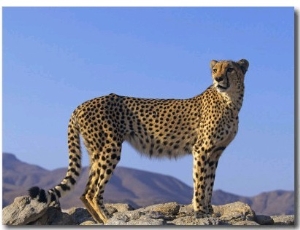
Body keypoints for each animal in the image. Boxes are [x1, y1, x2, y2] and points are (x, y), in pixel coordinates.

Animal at [28, 58, 248, 224]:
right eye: (215, 69)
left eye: (230, 69)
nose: (218, 79)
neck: (230, 101)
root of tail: (82, 104)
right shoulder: (202, 149)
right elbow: (200, 182)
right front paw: (200, 211)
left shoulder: (215, 152)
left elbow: (209, 181)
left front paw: (208, 210)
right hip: (110, 148)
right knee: (93, 192)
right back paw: (107, 219)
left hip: (96, 152)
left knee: (86, 191)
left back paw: (99, 220)